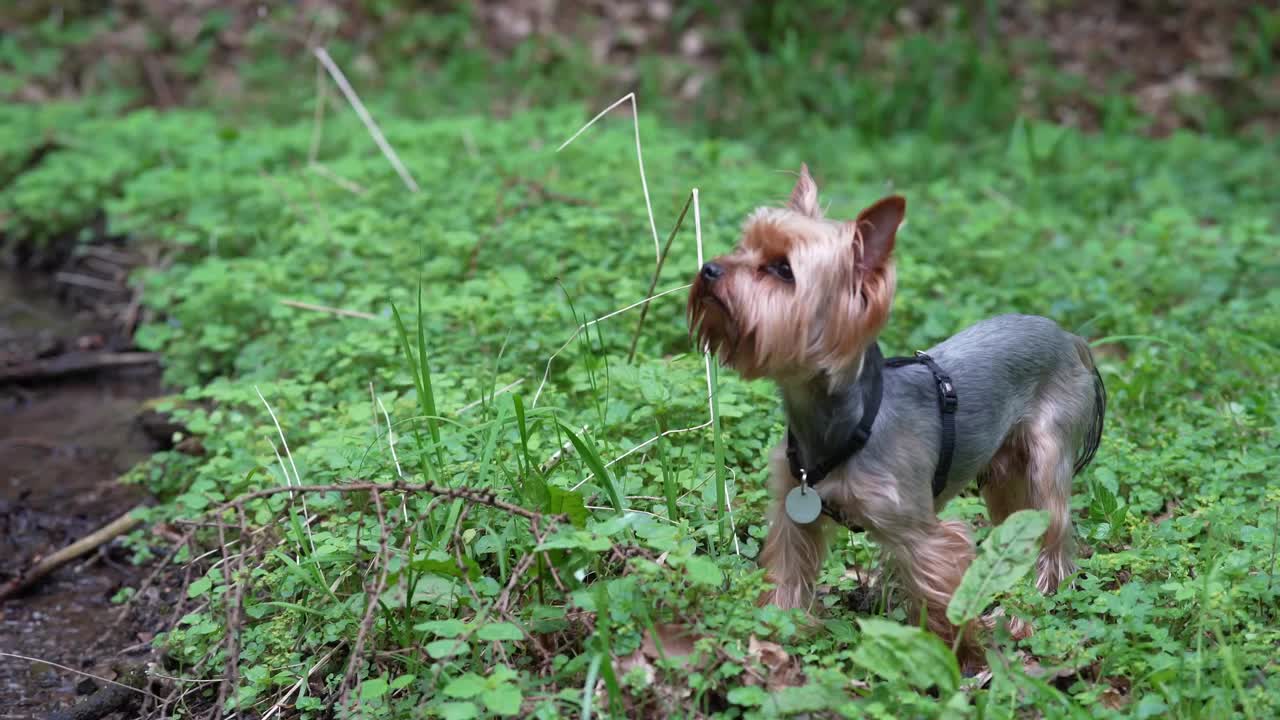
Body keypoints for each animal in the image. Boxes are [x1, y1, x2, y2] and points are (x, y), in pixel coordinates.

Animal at [686, 162, 1105, 655]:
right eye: (743, 246)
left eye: (782, 269)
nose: (709, 268)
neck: (843, 425)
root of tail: (1068, 337)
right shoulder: (793, 511)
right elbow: (787, 575)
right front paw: (776, 634)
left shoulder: (921, 532)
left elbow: (943, 599)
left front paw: (960, 655)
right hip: (1003, 475)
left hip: (1046, 455)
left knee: (1051, 534)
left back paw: (1027, 611)